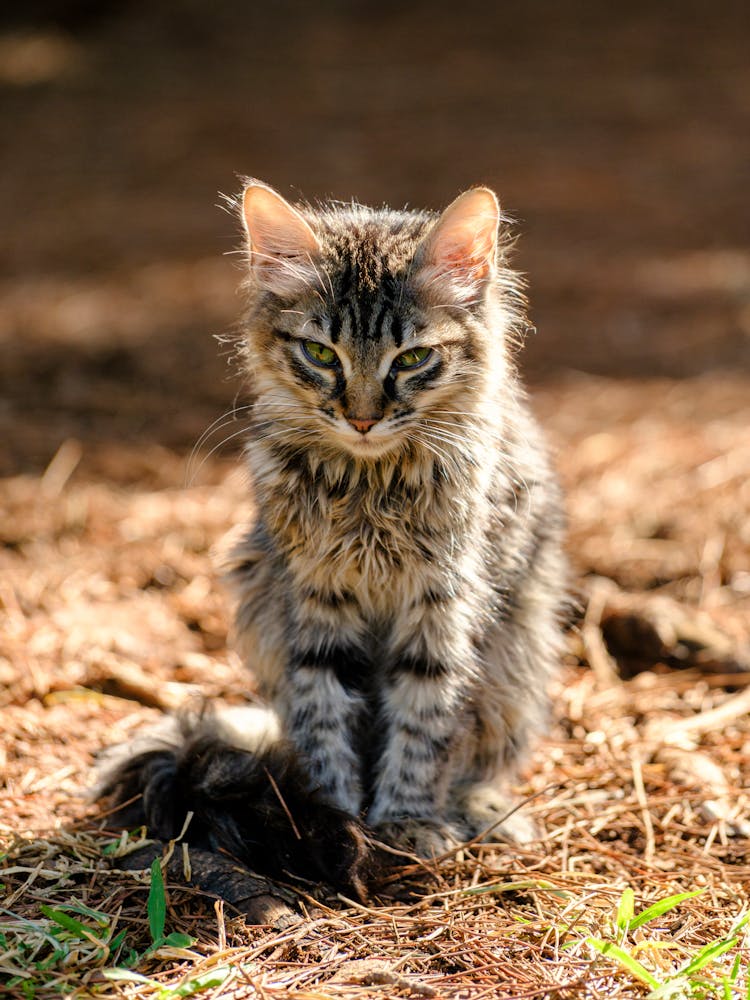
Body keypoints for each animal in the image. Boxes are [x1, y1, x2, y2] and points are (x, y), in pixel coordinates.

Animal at [97, 180, 568, 892]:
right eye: (321, 354)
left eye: (413, 359)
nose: (364, 418)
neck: (370, 485)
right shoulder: (314, 601)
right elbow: (324, 723)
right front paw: (333, 817)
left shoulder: (444, 604)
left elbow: (425, 722)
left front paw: (405, 822)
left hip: (521, 649)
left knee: (481, 755)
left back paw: (482, 810)